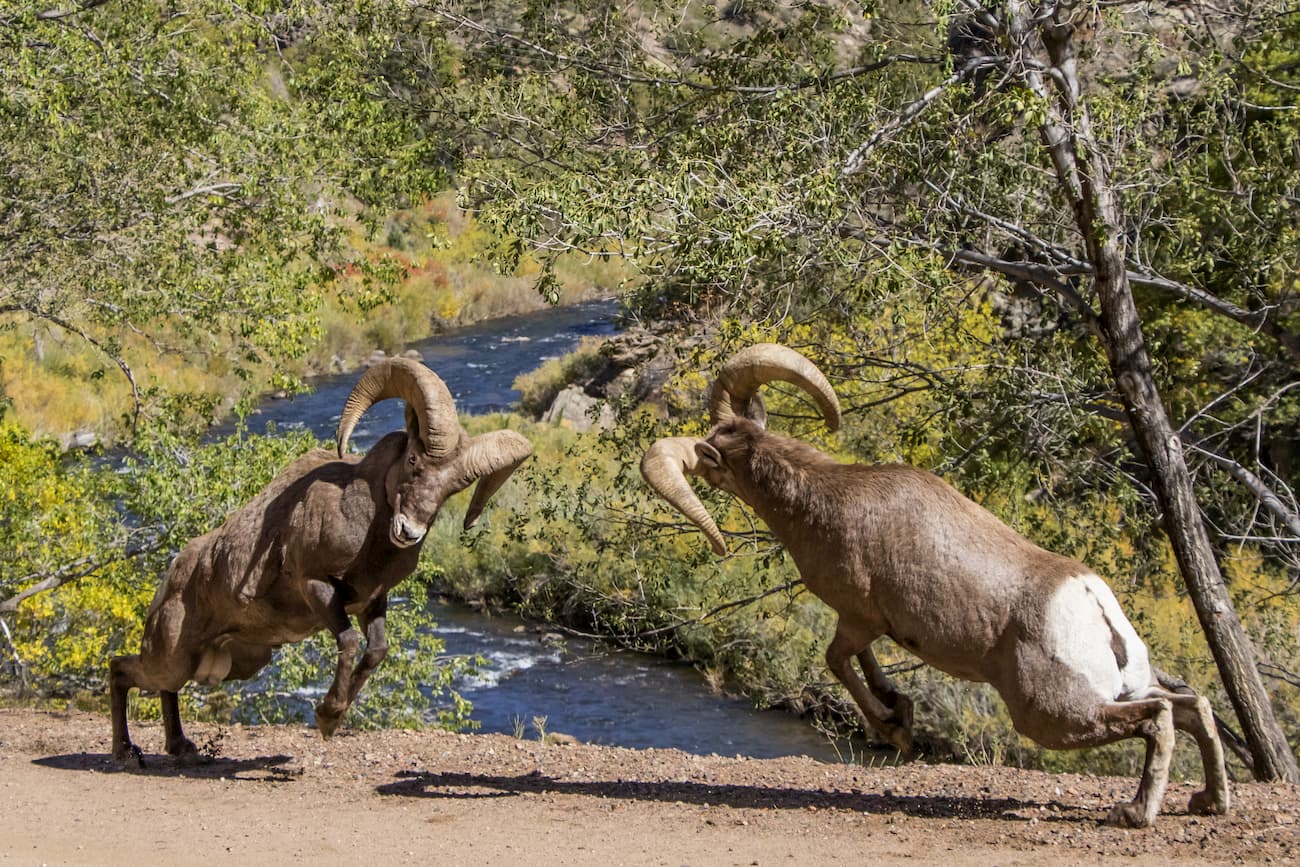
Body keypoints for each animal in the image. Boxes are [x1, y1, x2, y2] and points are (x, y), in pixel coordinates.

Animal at [109, 358, 532, 766]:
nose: (408, 532)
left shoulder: (371, 602)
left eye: (454, 489)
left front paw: (334, 717)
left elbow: (376, 651)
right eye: (413, 459)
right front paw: (327, 717)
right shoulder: (317, 587)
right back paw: (126, 752)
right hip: (172, 658)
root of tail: (172, 578)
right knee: (121, 669)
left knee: (162, 687)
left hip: (230, 666)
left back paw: (179, 747)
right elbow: (349, 642)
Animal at [640, 343, 1229, 828]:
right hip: (1121, 686)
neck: (822, 502)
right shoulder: (868, 624)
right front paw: (897, 709)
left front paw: (895, 728)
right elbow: (862, 665)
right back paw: (1209, 802)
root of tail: (1090, 602)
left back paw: (1134, 814)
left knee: (1158, 719)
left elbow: (838, 662)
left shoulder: (858, 617)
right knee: (1193, 707)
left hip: (1052, 715)